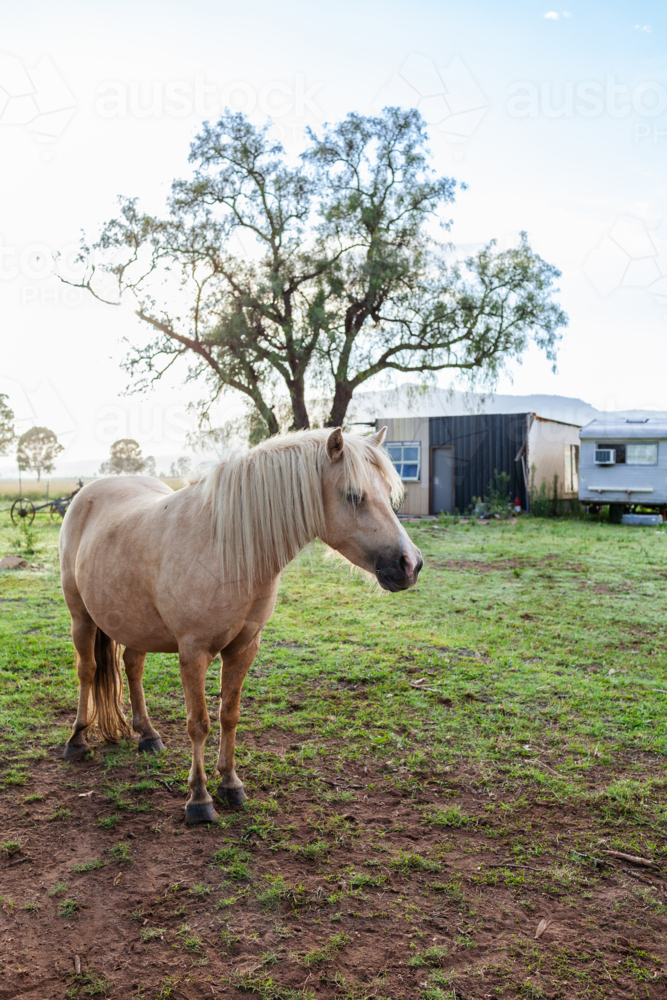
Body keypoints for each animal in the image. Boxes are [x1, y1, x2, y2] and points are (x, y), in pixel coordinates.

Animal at [59, 427, 423, 823]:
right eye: (354, 495)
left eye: (388, 493)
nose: (410, 564)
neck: (226, 549)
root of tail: (87, 494)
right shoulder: (194, 652)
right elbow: (199, 723)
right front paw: (199, 799)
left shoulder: (244, 648)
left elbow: (228, 715)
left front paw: (230, 784)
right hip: (81, 617)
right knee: (86, 670)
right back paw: (77, 740)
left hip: (134, 624)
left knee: (132, 667)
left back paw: (148, 736)